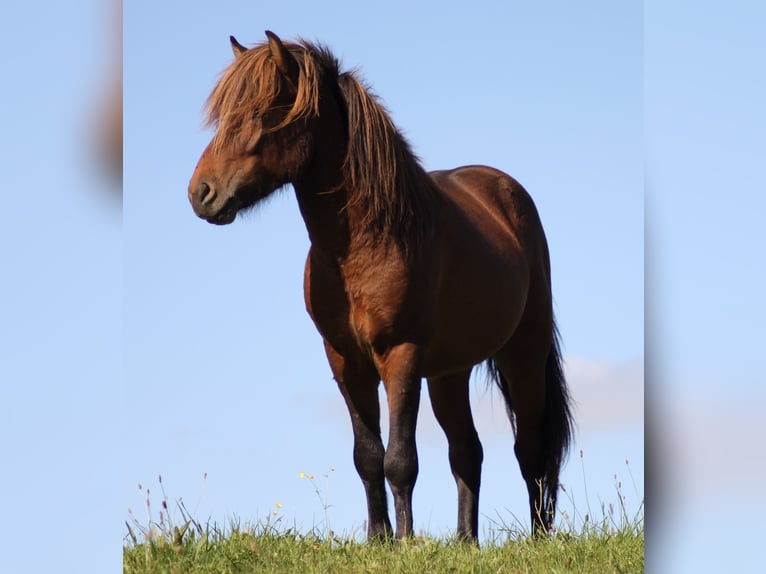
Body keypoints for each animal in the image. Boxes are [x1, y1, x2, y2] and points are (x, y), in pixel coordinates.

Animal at [188, 31, 573, 543]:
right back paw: (465, 541)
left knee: (530, 449)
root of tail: (507, 193)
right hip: (449, 373)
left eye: (264, 112)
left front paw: (406, 541)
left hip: (522, 356)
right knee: (467, 451)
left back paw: (537, 537)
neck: (364, 244)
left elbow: (400, 459)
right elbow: (368, 457)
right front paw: (378, 538)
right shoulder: (345, 362)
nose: (202, 193)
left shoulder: (400, 356)